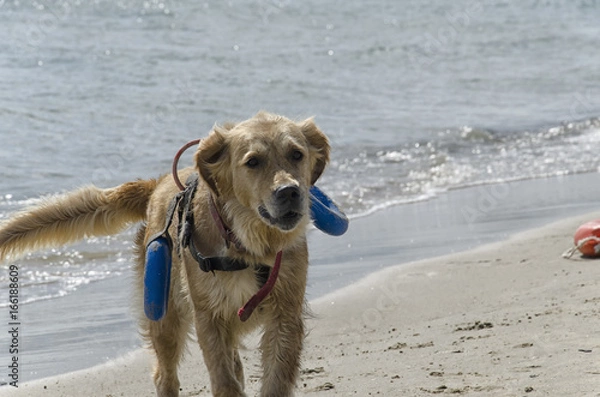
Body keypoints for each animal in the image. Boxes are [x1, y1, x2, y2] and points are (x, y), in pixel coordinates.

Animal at [0, 112, 328, 396]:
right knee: (165, 374)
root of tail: (158, 183)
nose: (289, 192)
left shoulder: (285, 315)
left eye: (296, 154)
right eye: (253, 162)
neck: (248, 241)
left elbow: (275, 379)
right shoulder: (208, 317)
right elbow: (224, 380)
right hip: (164, 314)